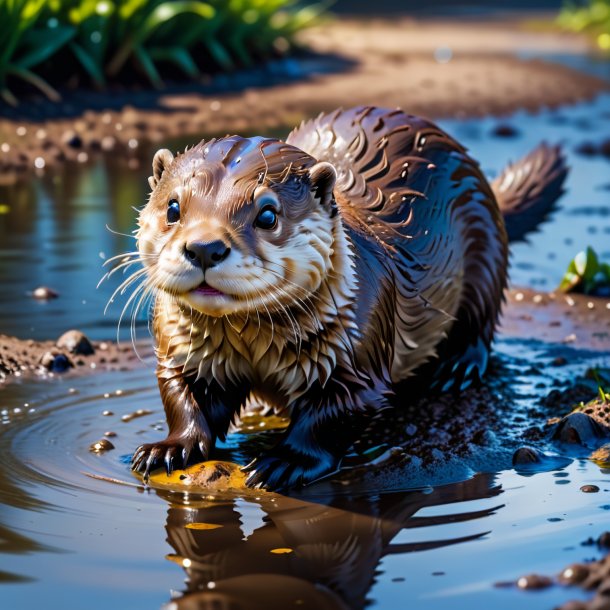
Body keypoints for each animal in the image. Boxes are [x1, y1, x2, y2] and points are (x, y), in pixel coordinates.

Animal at [129, 105, 564, 490]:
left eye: (267, 215)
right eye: (173, 208)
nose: (204, 248)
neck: (254, 350)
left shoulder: (359, 350)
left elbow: (333, 417)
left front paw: (286, 462)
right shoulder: (186, 350)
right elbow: (184, 394)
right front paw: (168, 448)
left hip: (486, 252)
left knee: (481, 321)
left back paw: (457, 368)